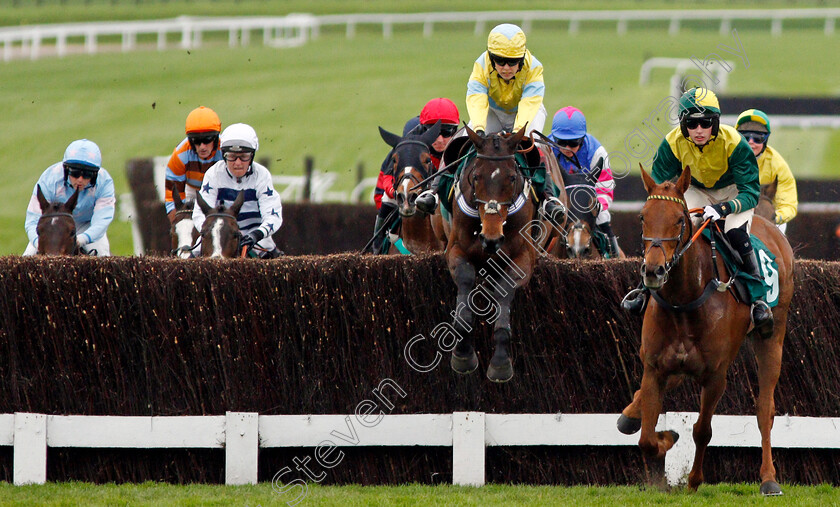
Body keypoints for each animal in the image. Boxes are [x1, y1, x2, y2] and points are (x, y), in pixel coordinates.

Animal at [442, 126, 568, 380]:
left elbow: (505, 290)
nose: (491, 239)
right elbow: (465, 281)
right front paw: (463, 355)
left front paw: (500, 362)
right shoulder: (456, 248)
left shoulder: (524, 257)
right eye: (476, 176)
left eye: (512, 178)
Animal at [616, 167, 796, 496]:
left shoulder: (715, 375)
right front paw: (665, 436)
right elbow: (646, 438)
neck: (684, 301)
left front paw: (694, 479)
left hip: (772, 336)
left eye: (679, 219)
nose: (654, 271)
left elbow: (702, 430)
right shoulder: (654, 367)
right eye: (642, 217)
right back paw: (629, 415)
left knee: (765, 409)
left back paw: (769, 479)